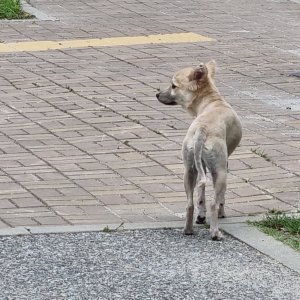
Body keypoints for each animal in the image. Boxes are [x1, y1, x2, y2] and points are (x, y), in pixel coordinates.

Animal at [156, 59, 243, 240]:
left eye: (173, 86)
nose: (157, 94)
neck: (212, 102)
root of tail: (202, 129)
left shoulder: (200, 166)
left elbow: (201, 194)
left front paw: (201, 217)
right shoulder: (224, 165)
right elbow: (219, 198)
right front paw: (221, 213)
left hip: (189, 171)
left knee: (190, 204)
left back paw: (188, 229)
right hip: (220, 172)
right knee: (214, 203)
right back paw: (215, 233)